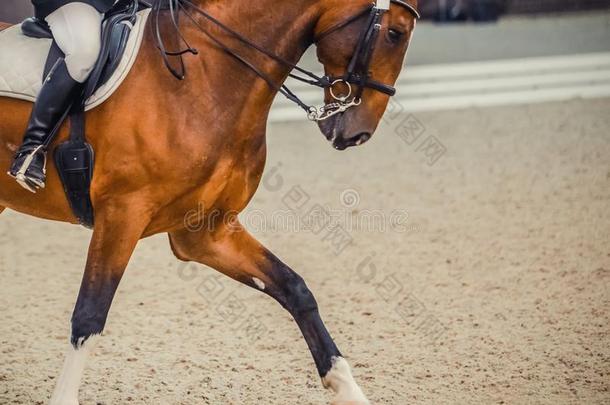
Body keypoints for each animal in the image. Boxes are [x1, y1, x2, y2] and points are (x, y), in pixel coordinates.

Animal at [0, 1, 418, 402]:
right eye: (395, 33)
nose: (358, 133)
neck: (204, 79)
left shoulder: (205, 233)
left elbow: (294, 288)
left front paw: (348, 389)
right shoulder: (122, 215)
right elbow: (89, 314)